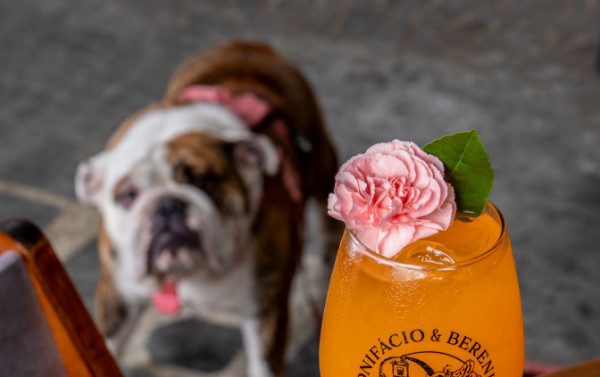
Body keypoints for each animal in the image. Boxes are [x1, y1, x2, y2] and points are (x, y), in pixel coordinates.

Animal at [75, 41, 342, 376]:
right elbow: (100, 343)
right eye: (128, 195)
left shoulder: (265, 313)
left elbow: (263, 364)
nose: (167, 206)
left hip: (321, 162)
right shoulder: (117, 297)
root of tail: (248, 46)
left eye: (204, 181)